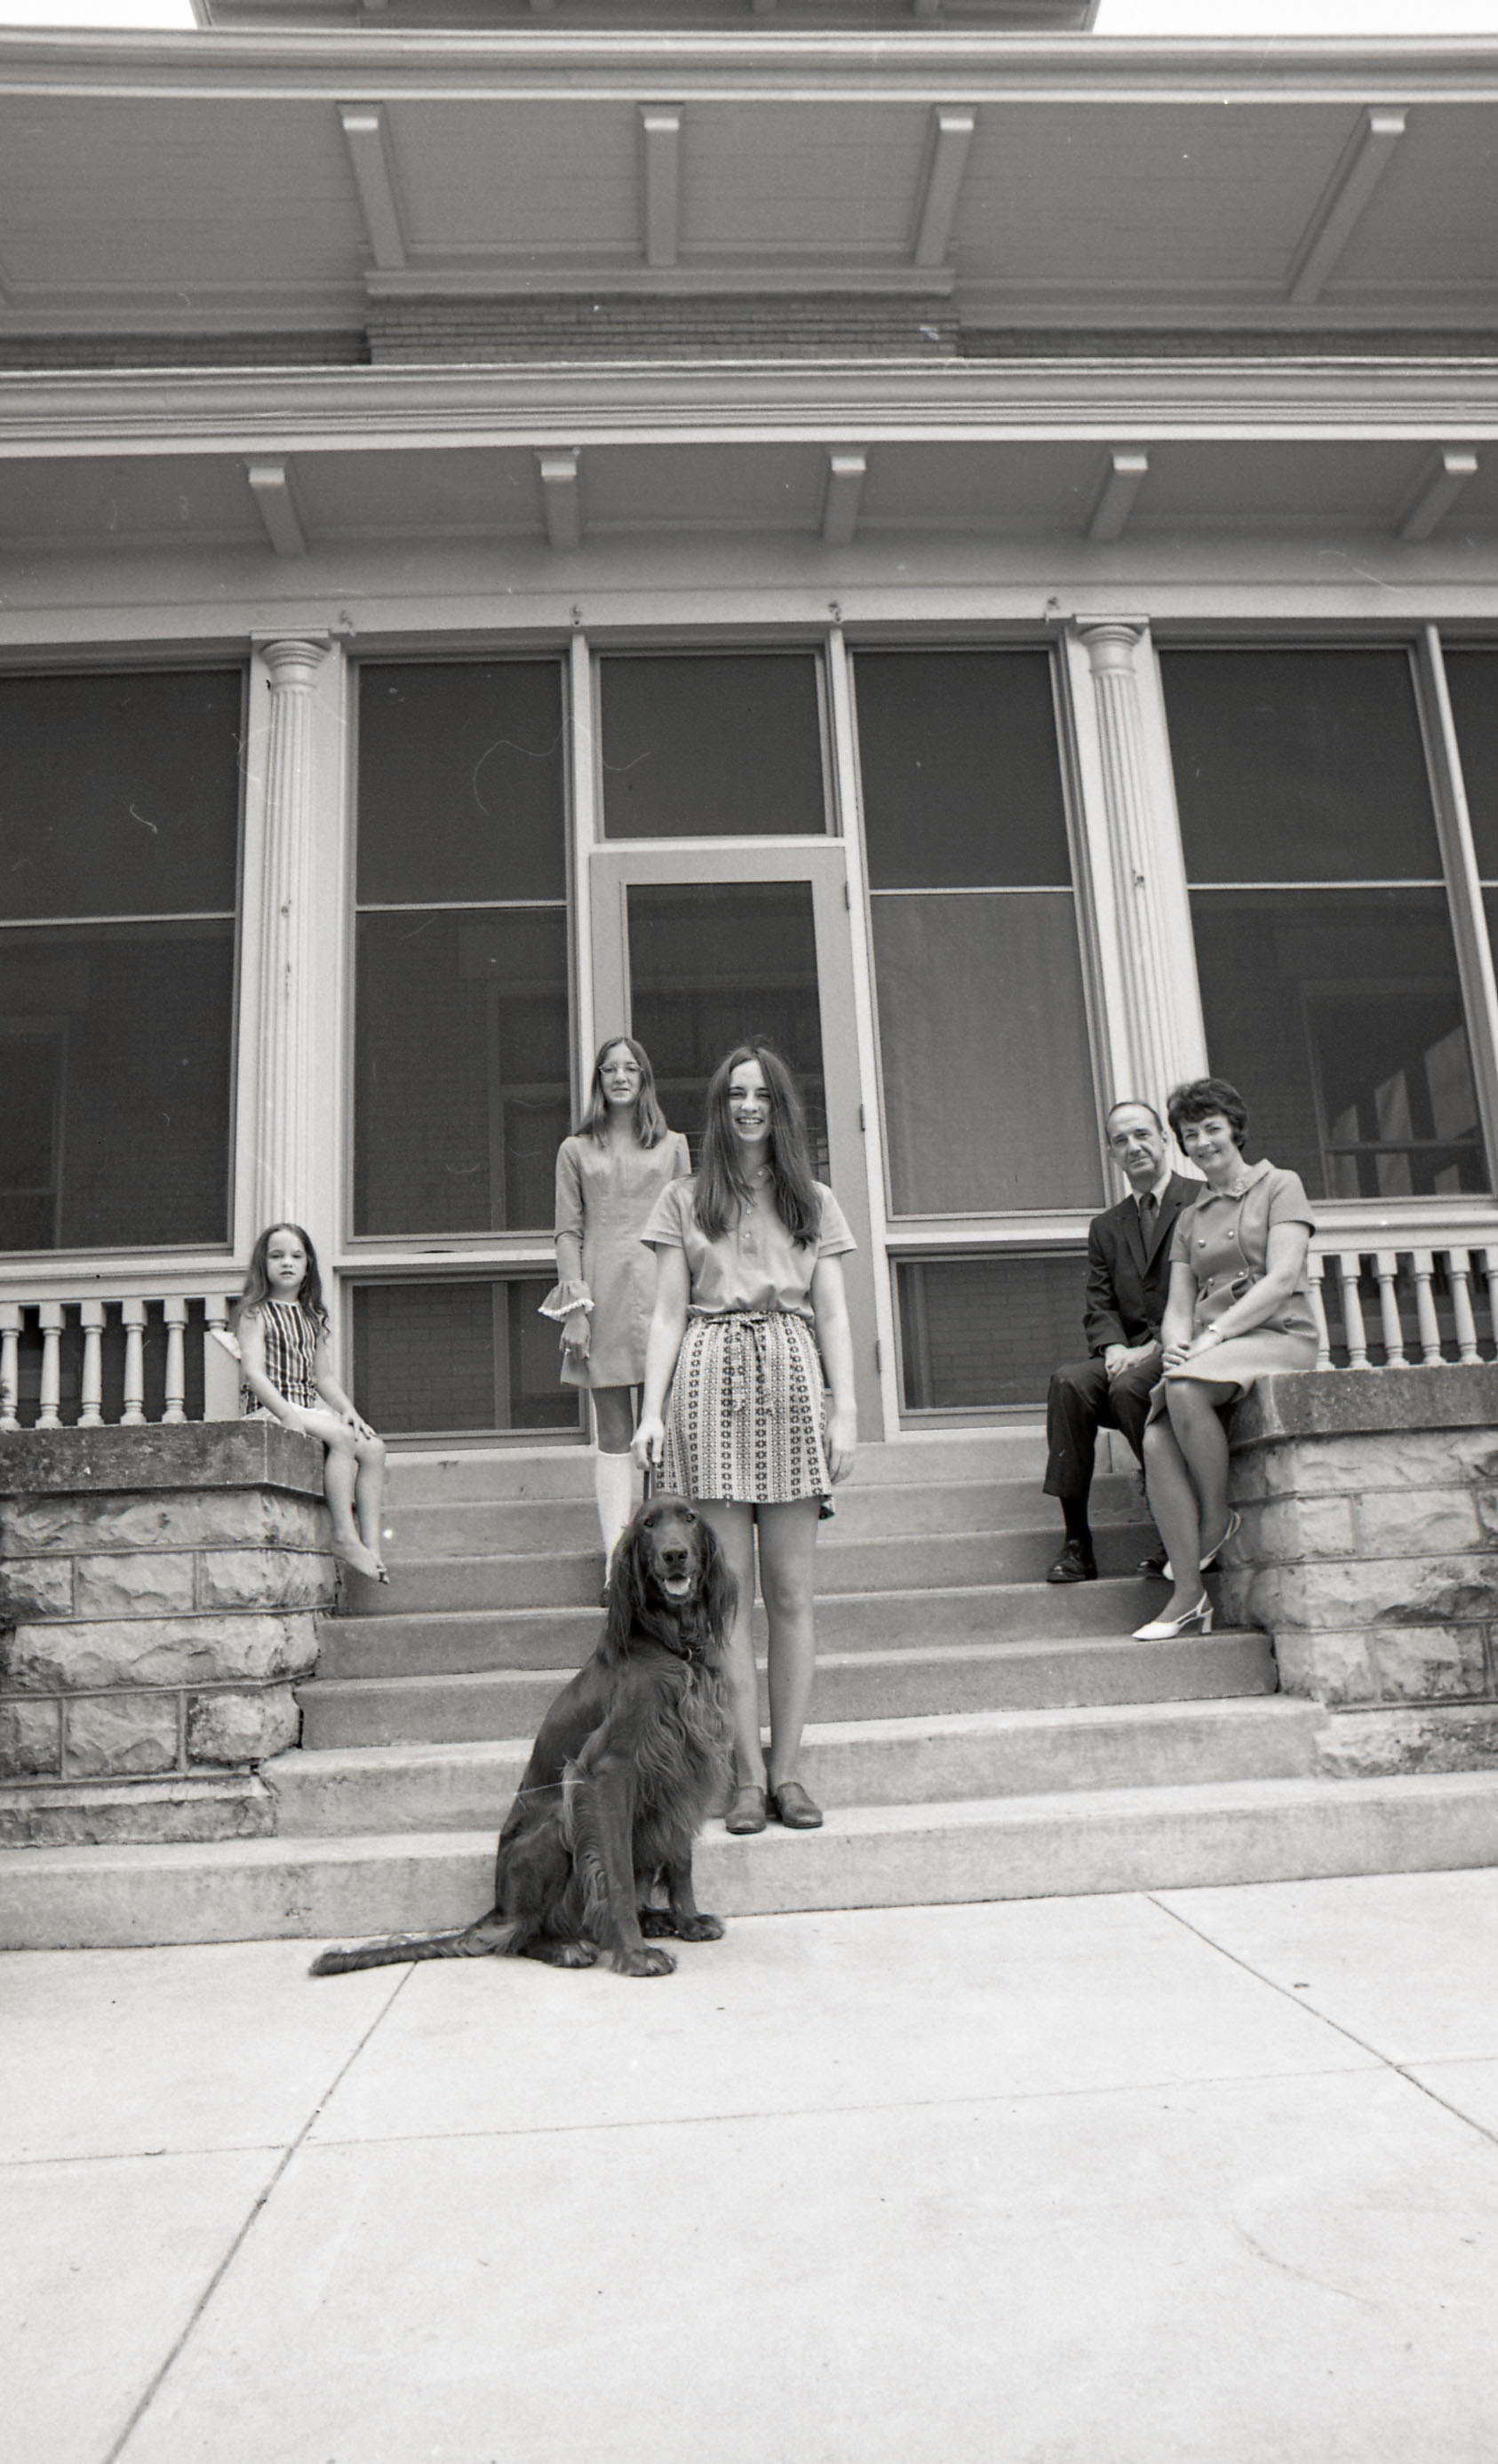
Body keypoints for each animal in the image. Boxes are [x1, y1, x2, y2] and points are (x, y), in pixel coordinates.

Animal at [309, 1478, 729, 1981]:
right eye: (648, 1524)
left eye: (689, 1518)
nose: (674, 1554)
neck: (671, 1646)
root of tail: (497, 1905)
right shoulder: (606, 1772)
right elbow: (617, 1877)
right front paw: (635, 1954)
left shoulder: (688, 1762)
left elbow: (681, 1855)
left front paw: (689, 1919)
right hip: (555, 1826)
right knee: (518, 1934)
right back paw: (566, 1946)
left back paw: (656, 1918)